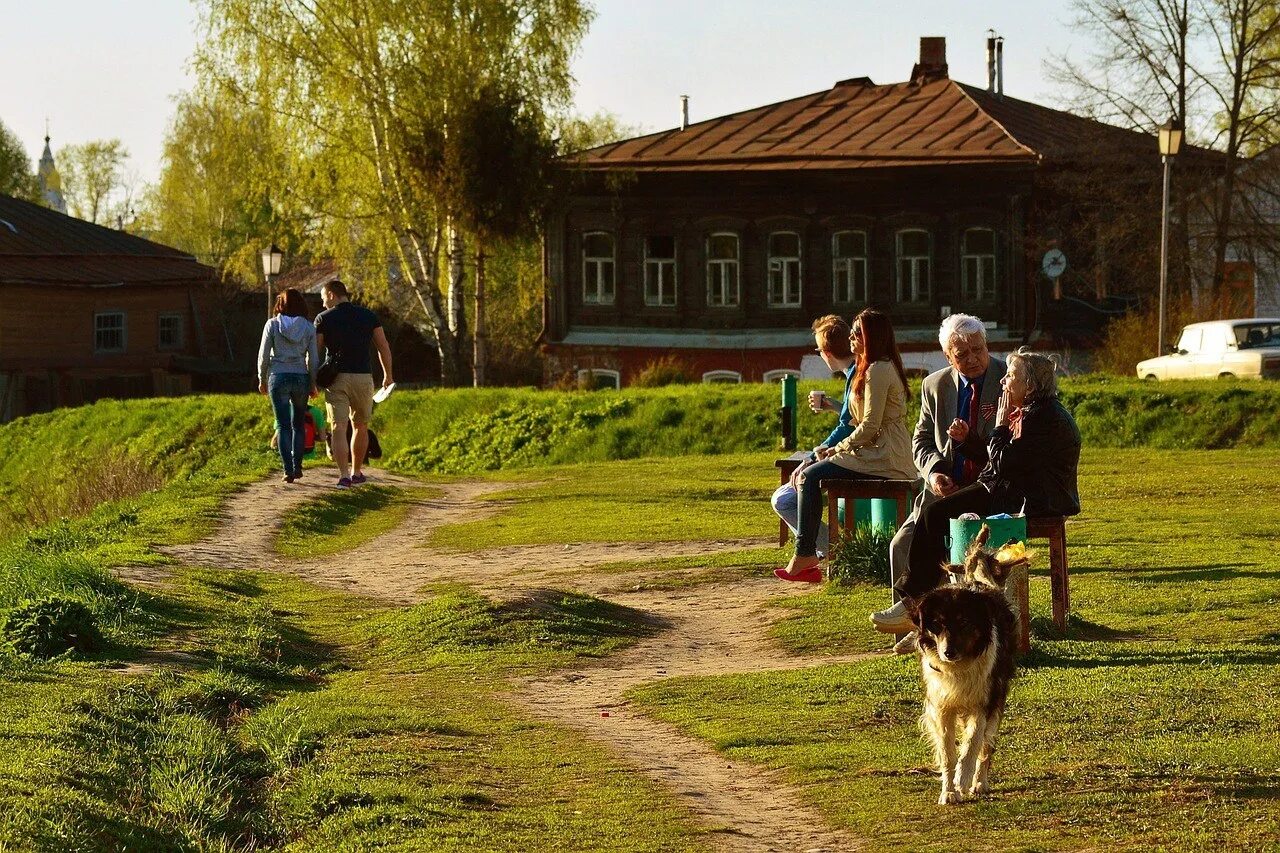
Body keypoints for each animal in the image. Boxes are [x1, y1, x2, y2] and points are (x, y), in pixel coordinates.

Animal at [911, 525, 1018, 804]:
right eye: (936, 624)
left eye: (965, 622)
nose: (948, 652)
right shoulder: (942, 706)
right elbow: (948, 753)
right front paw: (949, 791)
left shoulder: (984, 702)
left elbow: (971, 746)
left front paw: (964, 780)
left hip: (997, 699)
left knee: (986, 747)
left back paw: (980, 783)